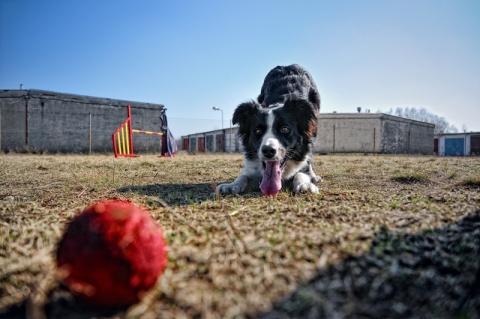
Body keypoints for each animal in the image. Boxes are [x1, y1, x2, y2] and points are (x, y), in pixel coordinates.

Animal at [219, 65, 320, 198]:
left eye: (285, 129)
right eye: (257, 131)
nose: (268, 151)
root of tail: (290, 65)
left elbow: (301, 172)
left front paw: (305, 185)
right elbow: (244, 175)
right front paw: (231, 185)